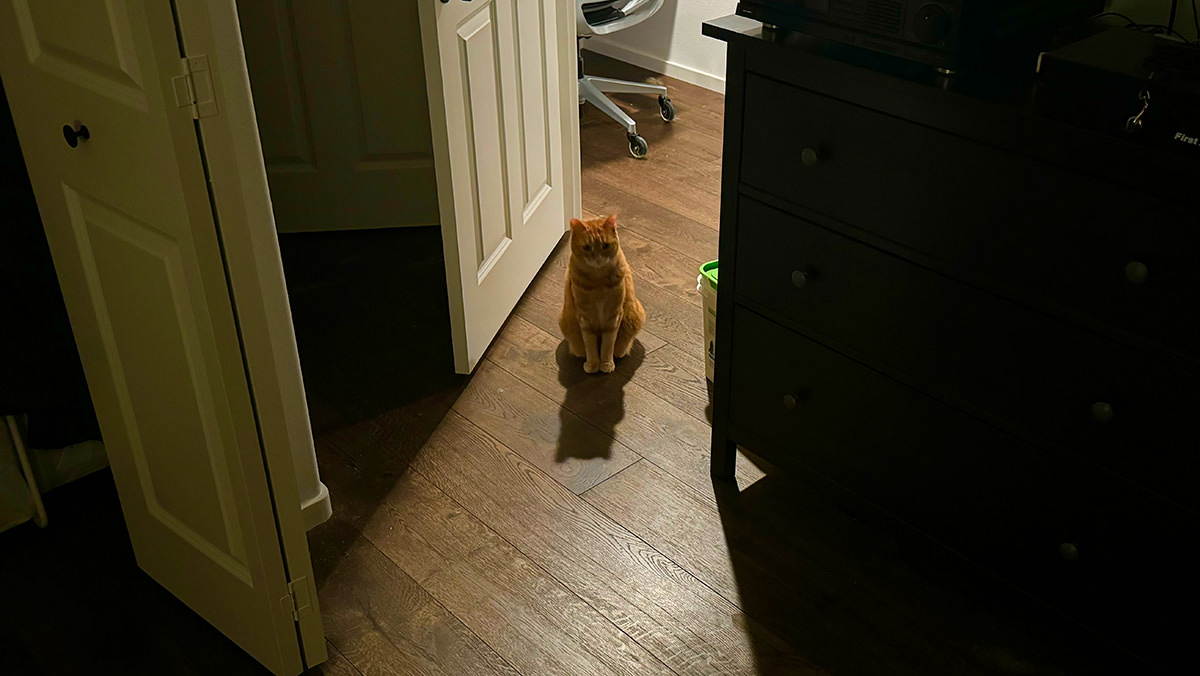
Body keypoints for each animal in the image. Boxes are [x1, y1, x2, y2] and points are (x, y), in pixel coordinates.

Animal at [556, 213, 643, 374]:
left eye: (605, 246)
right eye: (587, 247)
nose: (598, 258)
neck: (598, 282)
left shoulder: (614, 316)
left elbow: (608, 345)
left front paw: (606, 364)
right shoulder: (584, 317)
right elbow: (590, 345)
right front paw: (593, 364)